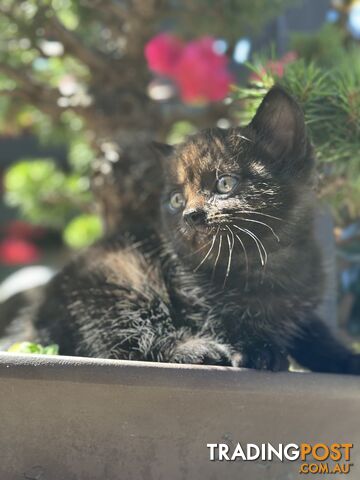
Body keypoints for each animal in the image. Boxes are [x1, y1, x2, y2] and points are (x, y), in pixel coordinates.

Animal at [28, 85, 360, 372]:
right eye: (176, 200)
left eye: (224, 184)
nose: (190, 215)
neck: (264, 263)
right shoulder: (190, 295)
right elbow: (222, 321)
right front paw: (257, 351)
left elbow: (315, 334)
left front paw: (345, 359)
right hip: (116, 279)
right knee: (127, 340)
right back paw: (200, 350)